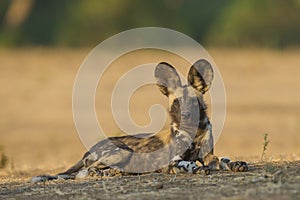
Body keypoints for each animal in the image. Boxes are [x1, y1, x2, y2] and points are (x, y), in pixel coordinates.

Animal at [30, 59, 247, 183]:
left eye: (193, 102)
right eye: (177, 103)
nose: (186, 116)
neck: (194, 134)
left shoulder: (210, 157)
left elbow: (224, 159)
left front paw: (237, 164)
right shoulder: (172, 162)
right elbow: (188, 164)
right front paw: (197, 169)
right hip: (119, 153)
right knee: (85, 171)